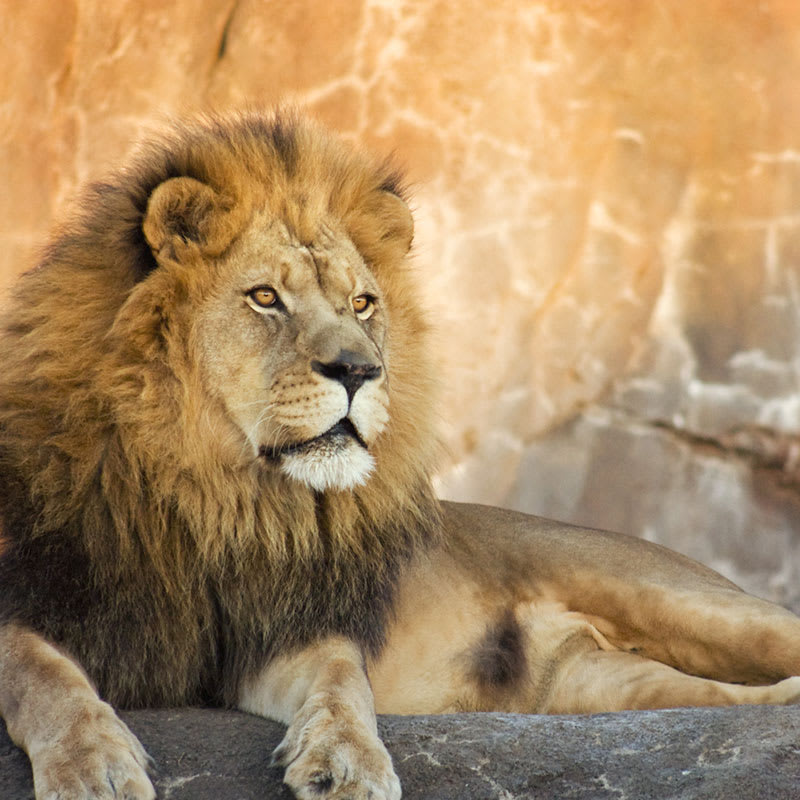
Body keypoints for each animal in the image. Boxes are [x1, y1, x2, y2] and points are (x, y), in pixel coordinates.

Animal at [0, 110, 799, 800]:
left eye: (361, 303)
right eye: (265, 297)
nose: (360, 370)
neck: (222, 493)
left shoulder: (288, 627)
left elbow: (342, 680)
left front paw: (349, 761)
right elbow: (40, 673)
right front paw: (94, 767)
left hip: (688, 603)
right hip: (601, 688)